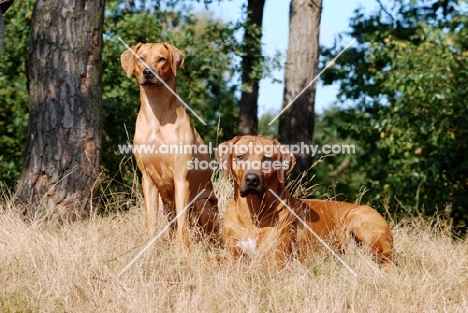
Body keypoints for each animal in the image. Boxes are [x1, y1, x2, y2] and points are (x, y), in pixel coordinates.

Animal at [122, 42, 221, 245]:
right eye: (141, 58)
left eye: (161, 59)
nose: (148, 72)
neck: (157, 114)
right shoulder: (147, 178)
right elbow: (150, 222)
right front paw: (149, 248)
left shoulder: (181, 176)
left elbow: (183, 224)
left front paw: (182, 250)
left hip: (204, 203)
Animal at [217, 135, 394, 270]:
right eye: (240, 157)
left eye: (267, 160)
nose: (252, 179)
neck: (252, 212)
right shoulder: (231, 253)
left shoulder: (275, 259)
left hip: (360, 218)